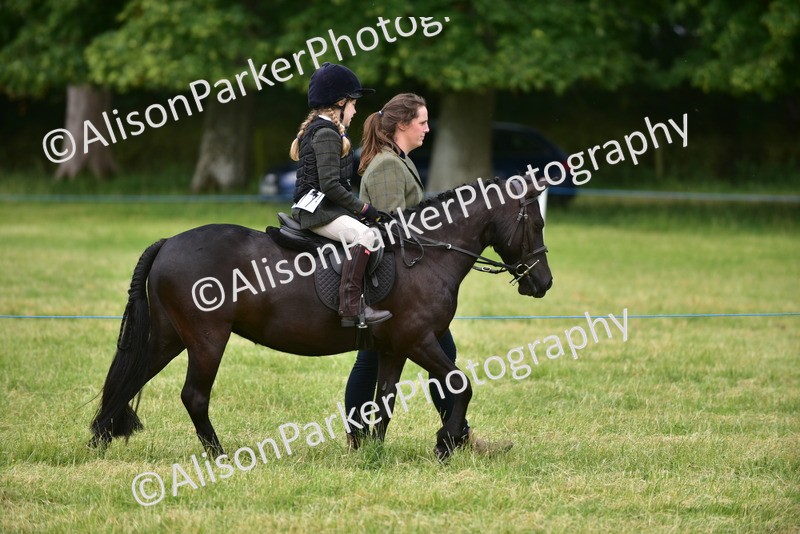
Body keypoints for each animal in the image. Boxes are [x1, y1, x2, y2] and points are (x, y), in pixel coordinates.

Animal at [89, 176, 553, 461]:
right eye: (537, 223)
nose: (543, 283)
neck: (428, 253)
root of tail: (169, 243)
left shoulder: (394, 348)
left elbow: (384, 399)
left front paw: (374, 453)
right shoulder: (419, 340)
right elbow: (461, 384)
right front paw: (445, 445)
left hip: (169, 337)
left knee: (128, 378)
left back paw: (98, 440)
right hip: (206, 338)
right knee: (194, 396)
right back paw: (219, 457)